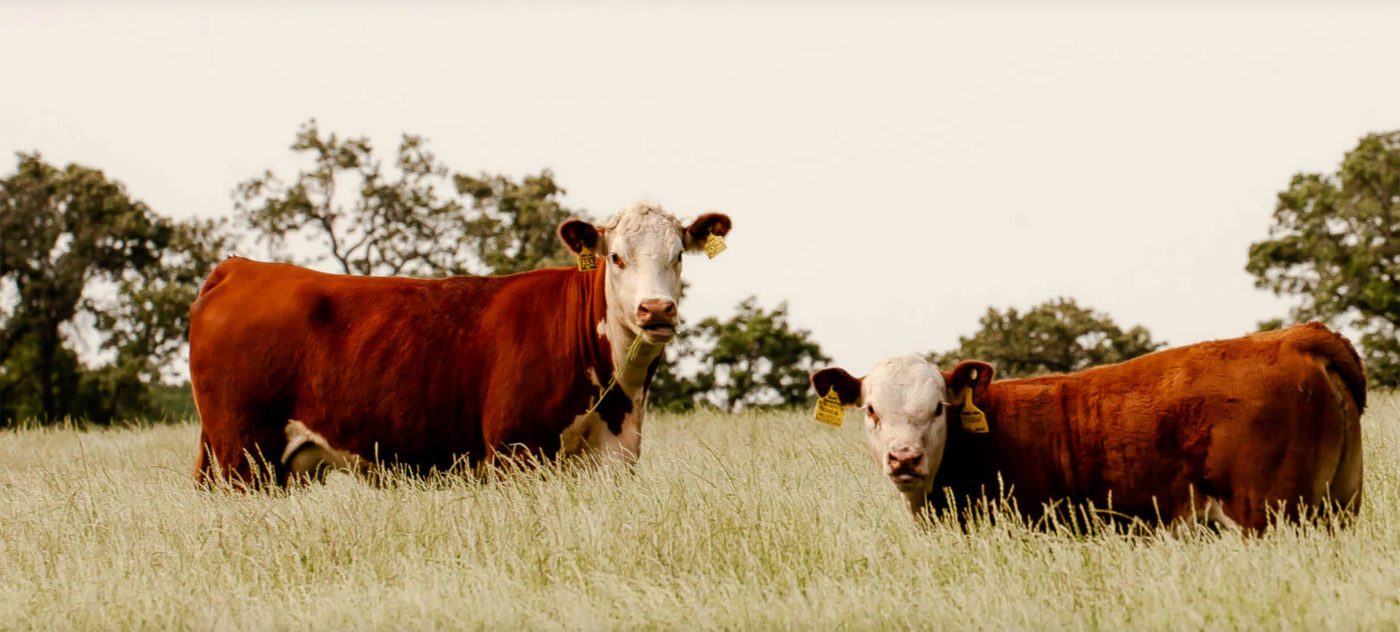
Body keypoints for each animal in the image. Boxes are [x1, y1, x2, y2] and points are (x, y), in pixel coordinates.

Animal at [189, 201, 732, 487]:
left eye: (678, 255)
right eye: (616, 257)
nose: (656, 310)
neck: (617, 396)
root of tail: (239, 268)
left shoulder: (612, 459)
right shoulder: (514, 452)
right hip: (241, 456)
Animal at [810, 323, 1366, 533]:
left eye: (938, 409)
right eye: (871, 410)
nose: (904, 458)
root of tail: (1295, 336)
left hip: (1270, 513)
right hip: (1338, 507)